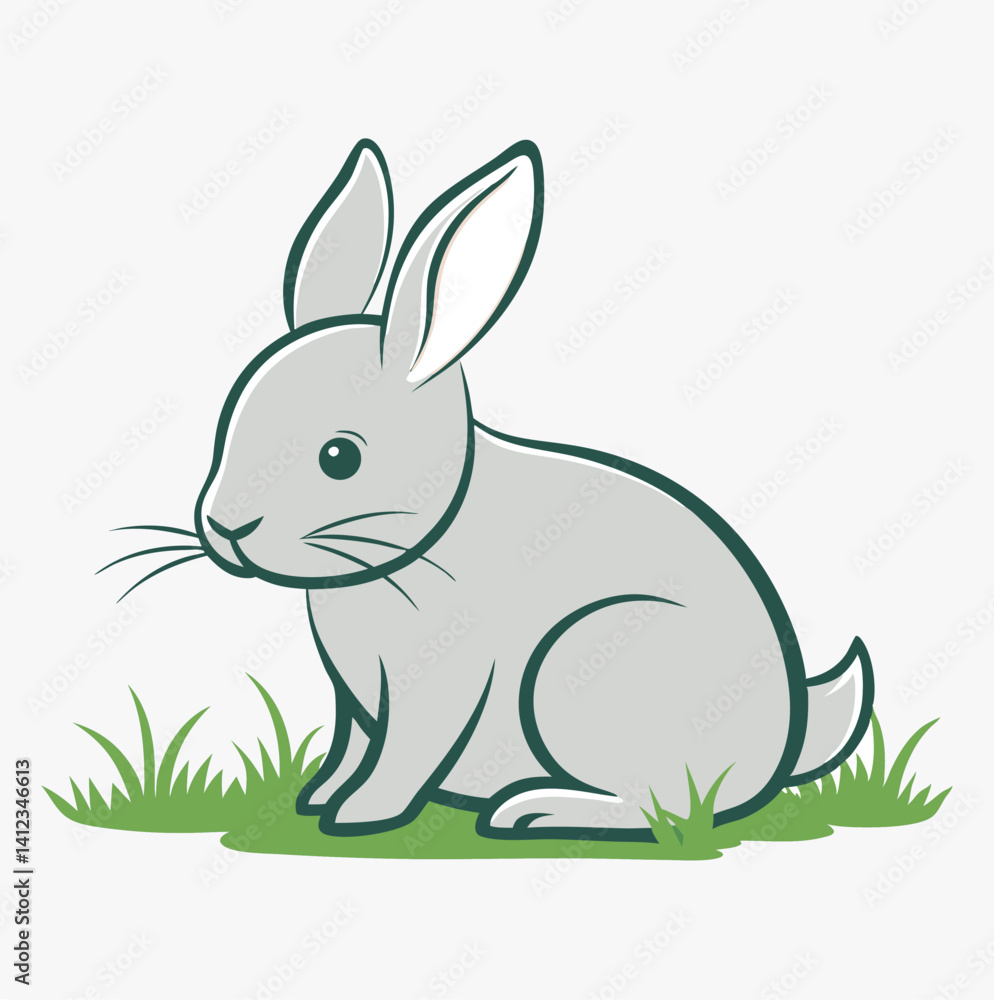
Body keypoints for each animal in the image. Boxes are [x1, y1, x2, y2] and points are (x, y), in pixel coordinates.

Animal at [190, 138, 874, 840]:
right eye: (231, 416)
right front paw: (321, 796)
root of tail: (780, 748)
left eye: (340, 457)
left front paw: (357, 815)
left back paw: (530, 810)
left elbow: (406, 754)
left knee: (666, 808)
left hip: (583, 667)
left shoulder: (438, 681)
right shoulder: (355, 699)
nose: (225, 528)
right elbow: (352, 744)